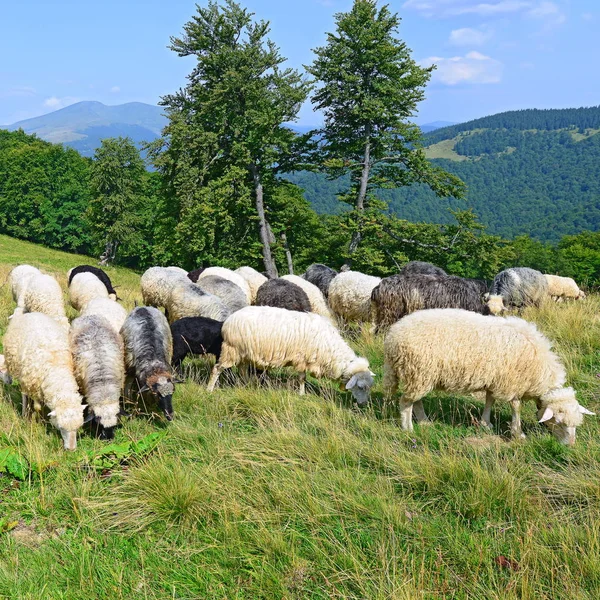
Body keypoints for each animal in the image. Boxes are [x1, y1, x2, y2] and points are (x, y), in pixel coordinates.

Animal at [2, 312, 84, 448]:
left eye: (77, 428)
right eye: (62, 428)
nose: (72, 449)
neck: (57, 371)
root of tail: (31, 313)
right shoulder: (34, 386)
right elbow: (37, 408)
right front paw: (40, 421)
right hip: (23, 374)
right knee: (24, 394)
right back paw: (25, 413)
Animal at [207, 304, 376, 404]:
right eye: (360, 387)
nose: (363, 404)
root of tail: (229, 320)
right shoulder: (302, 359)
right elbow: (302, 378)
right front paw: (301, 394)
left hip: (243, 353)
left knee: (242, 370)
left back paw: (246, 385)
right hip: (231, 350)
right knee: (217, 369)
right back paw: (209, 389)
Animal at [384, 310, 596, 446]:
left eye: (576, 425)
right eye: (559, 423)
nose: (571, 446)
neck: (539, 370)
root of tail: (392, 335)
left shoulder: (496, 379)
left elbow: (489, 400)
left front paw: (486, 423)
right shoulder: (512, 383)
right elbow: (516, 407)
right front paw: (518, 433)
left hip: (420, 375)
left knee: (416, 401)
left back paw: (424, 421)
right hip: (418, 371)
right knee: (405, 402)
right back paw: (408, 428)